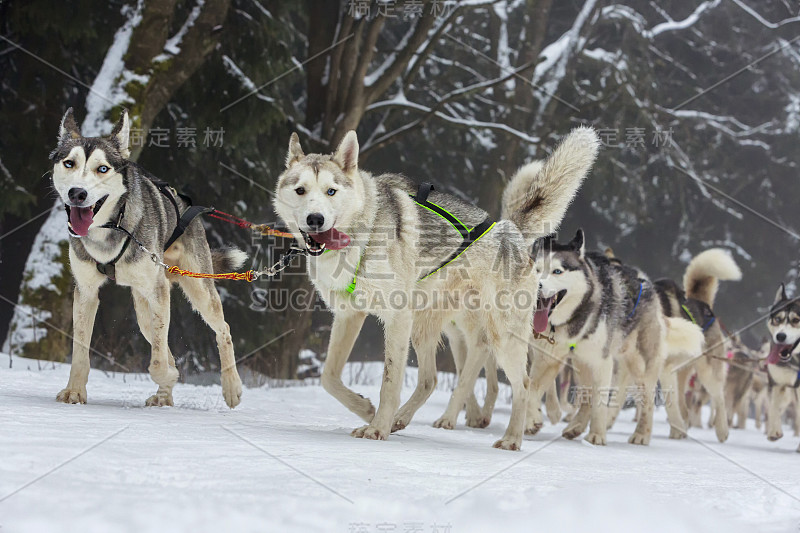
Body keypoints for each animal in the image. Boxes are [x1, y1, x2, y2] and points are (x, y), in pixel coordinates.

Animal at [50, 109, 244, 408]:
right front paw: (74, 392)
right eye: (69, 163)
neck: (112, 227)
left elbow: (158, 363)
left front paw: (168, 375)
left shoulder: (158, 291)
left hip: (196, 290)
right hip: (143, 311)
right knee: (162, 344)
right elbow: (80, 351)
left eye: (102, 168)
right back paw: (164, 397)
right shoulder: (86, 292)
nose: (77, 193)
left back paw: (231, 386)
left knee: (222, 330)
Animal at [272, 130, 596, 448]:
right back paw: (400, 419)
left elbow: (389, 382)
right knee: (430, 380)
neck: (362, 234)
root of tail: (510, 229)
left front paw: (377, 428)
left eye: (331, 191)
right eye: (300, 190)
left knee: (524, 385)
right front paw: (366, 410)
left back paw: (512, 439)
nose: (315, 219)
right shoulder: (349, 315)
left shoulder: (397, 318)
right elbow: (328, 377)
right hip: (425, 327)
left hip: (500, 337)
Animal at [528, 231, 704, 442]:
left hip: (640, 366)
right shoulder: (548, 359)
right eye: (537, 270)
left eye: (557, 271)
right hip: (583, 362)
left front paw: (596, 436)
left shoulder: (602, 361)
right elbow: (531, 389)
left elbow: (600, 403)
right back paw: (576, 426)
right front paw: (530, 421)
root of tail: (648, 286)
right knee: (586, 397)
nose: (537, 286)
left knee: (647, 401)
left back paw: (642, 435)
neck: (576, 316)